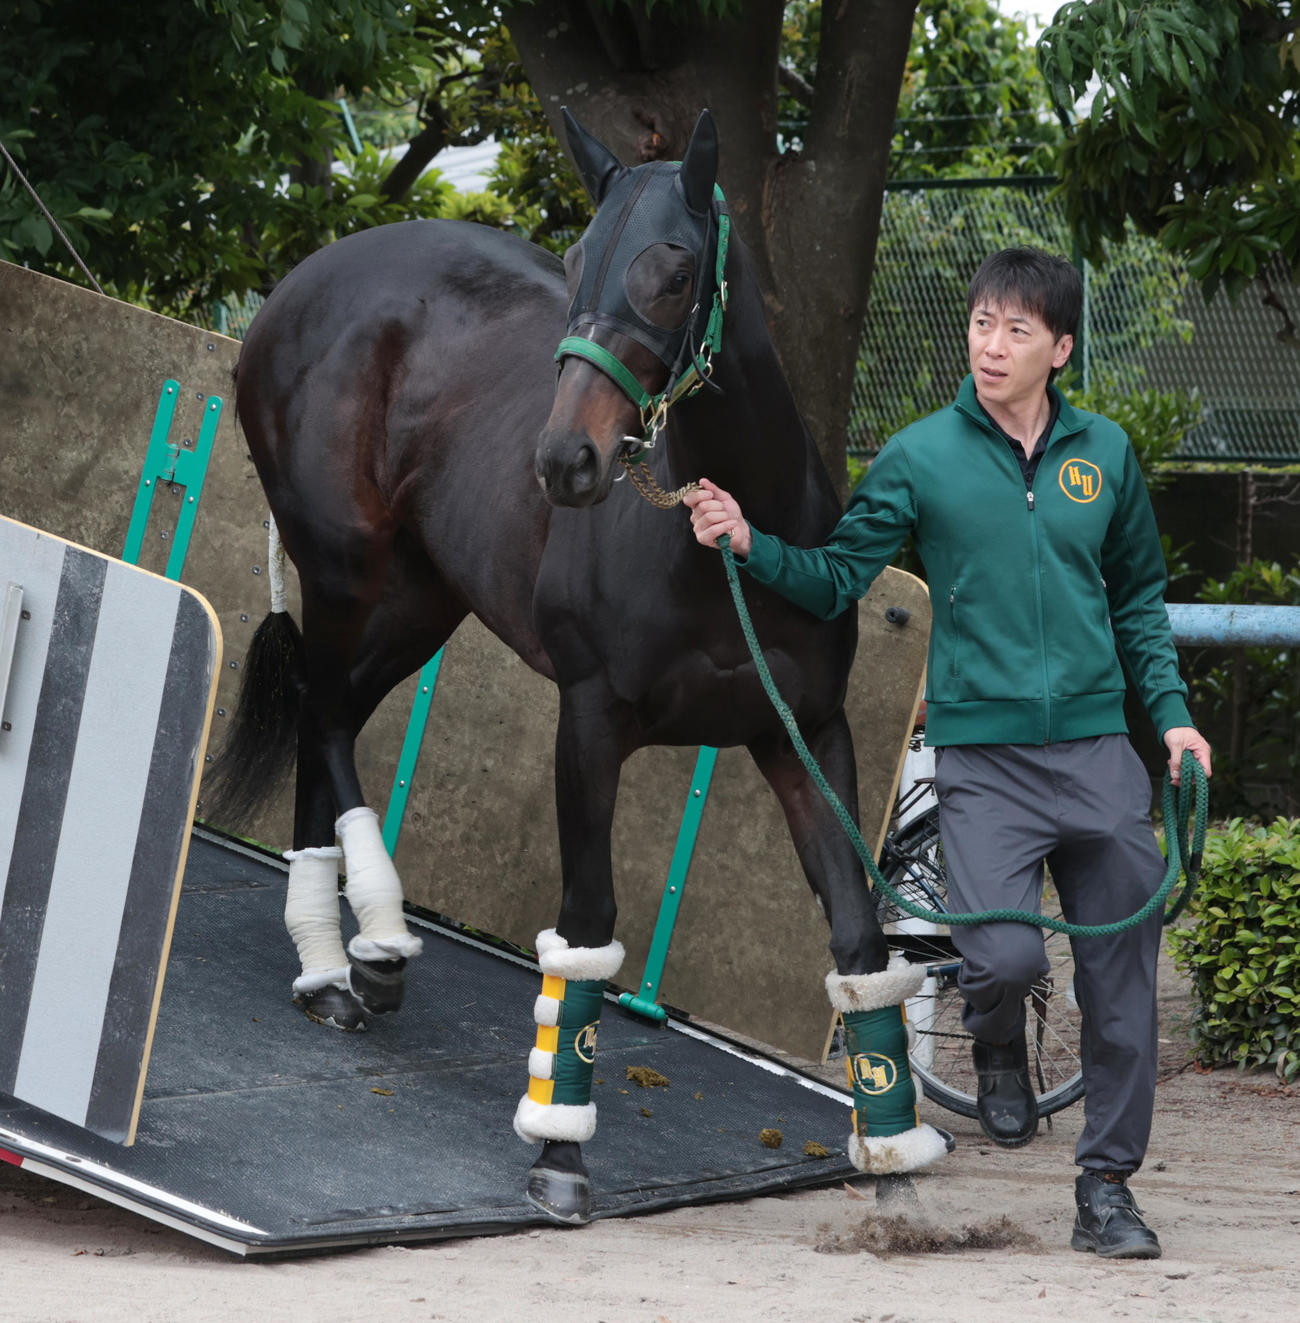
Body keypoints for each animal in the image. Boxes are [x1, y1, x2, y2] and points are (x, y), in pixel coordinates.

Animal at [209, 108, 949, 1224]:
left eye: (676, 268)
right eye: (572, 260)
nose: (566, 462)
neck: (724, 544)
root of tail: (303, 283)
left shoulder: (801, 733)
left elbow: (861, 938)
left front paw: (894, 1154)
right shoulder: (590, 722)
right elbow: (590, 928)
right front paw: (561, 1150)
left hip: (422, 599)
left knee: (326, 714)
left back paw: (345, 962)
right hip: (344, 572)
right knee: (324, 712)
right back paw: (358, 945)